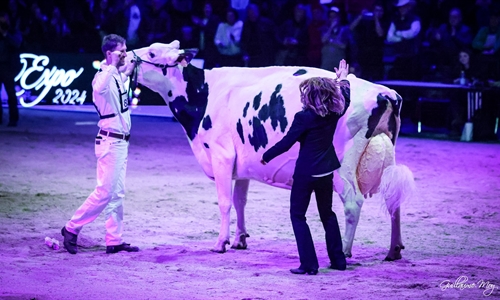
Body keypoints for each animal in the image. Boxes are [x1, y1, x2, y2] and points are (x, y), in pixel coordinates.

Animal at [123, 41, 416, 262]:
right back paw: (394, 250)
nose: (125, 56)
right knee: (394, 198)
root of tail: (385, 92)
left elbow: (225, 202)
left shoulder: (221, 155)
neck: (204, 94)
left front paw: (221, 243)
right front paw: (240, 239)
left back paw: (345, 250)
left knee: (353, 202)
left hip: (342, 167)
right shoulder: (241, 163)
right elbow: (240, 201)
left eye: (152, 53)